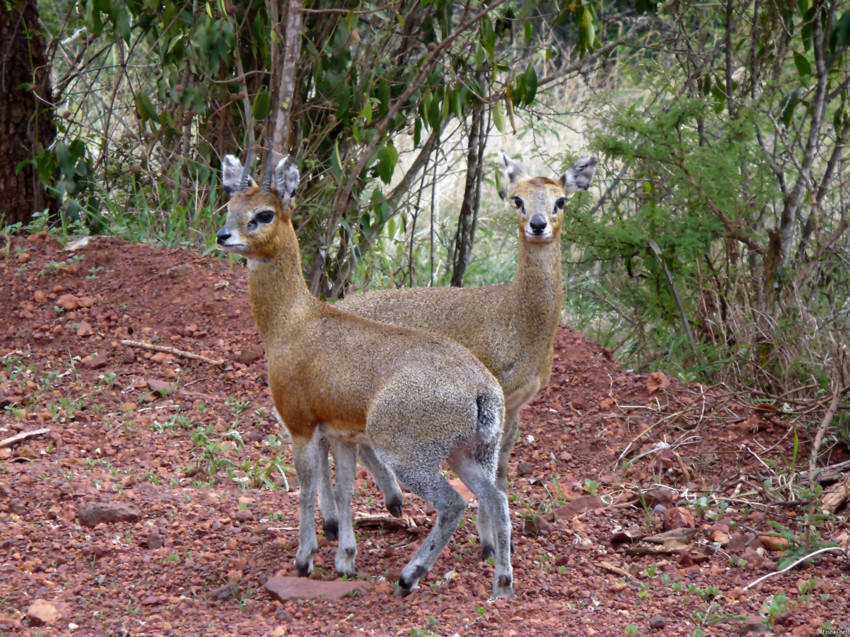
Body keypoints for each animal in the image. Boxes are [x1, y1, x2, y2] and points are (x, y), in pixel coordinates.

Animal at [215, 153, 512, 596]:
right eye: (230, 205)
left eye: (264, 213)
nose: (223, 236)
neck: (293, 324)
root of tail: (481, 390)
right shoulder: (341, 434)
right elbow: (344, 491)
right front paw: (345, 559)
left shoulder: (300, 426)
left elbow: (306, 488)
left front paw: (305, 559)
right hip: (469, 452)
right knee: (497, 498)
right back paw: (502, 584)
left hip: (408, 453)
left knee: (454, 503)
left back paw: (409, 575)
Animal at [338, 152, 596, 560]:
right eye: (517, 199)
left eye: (561, 201)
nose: (538, 225)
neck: (516, 321)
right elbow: (487, 473)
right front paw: (489, 543)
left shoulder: (517, 405)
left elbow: (501, 472)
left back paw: (390, 504)